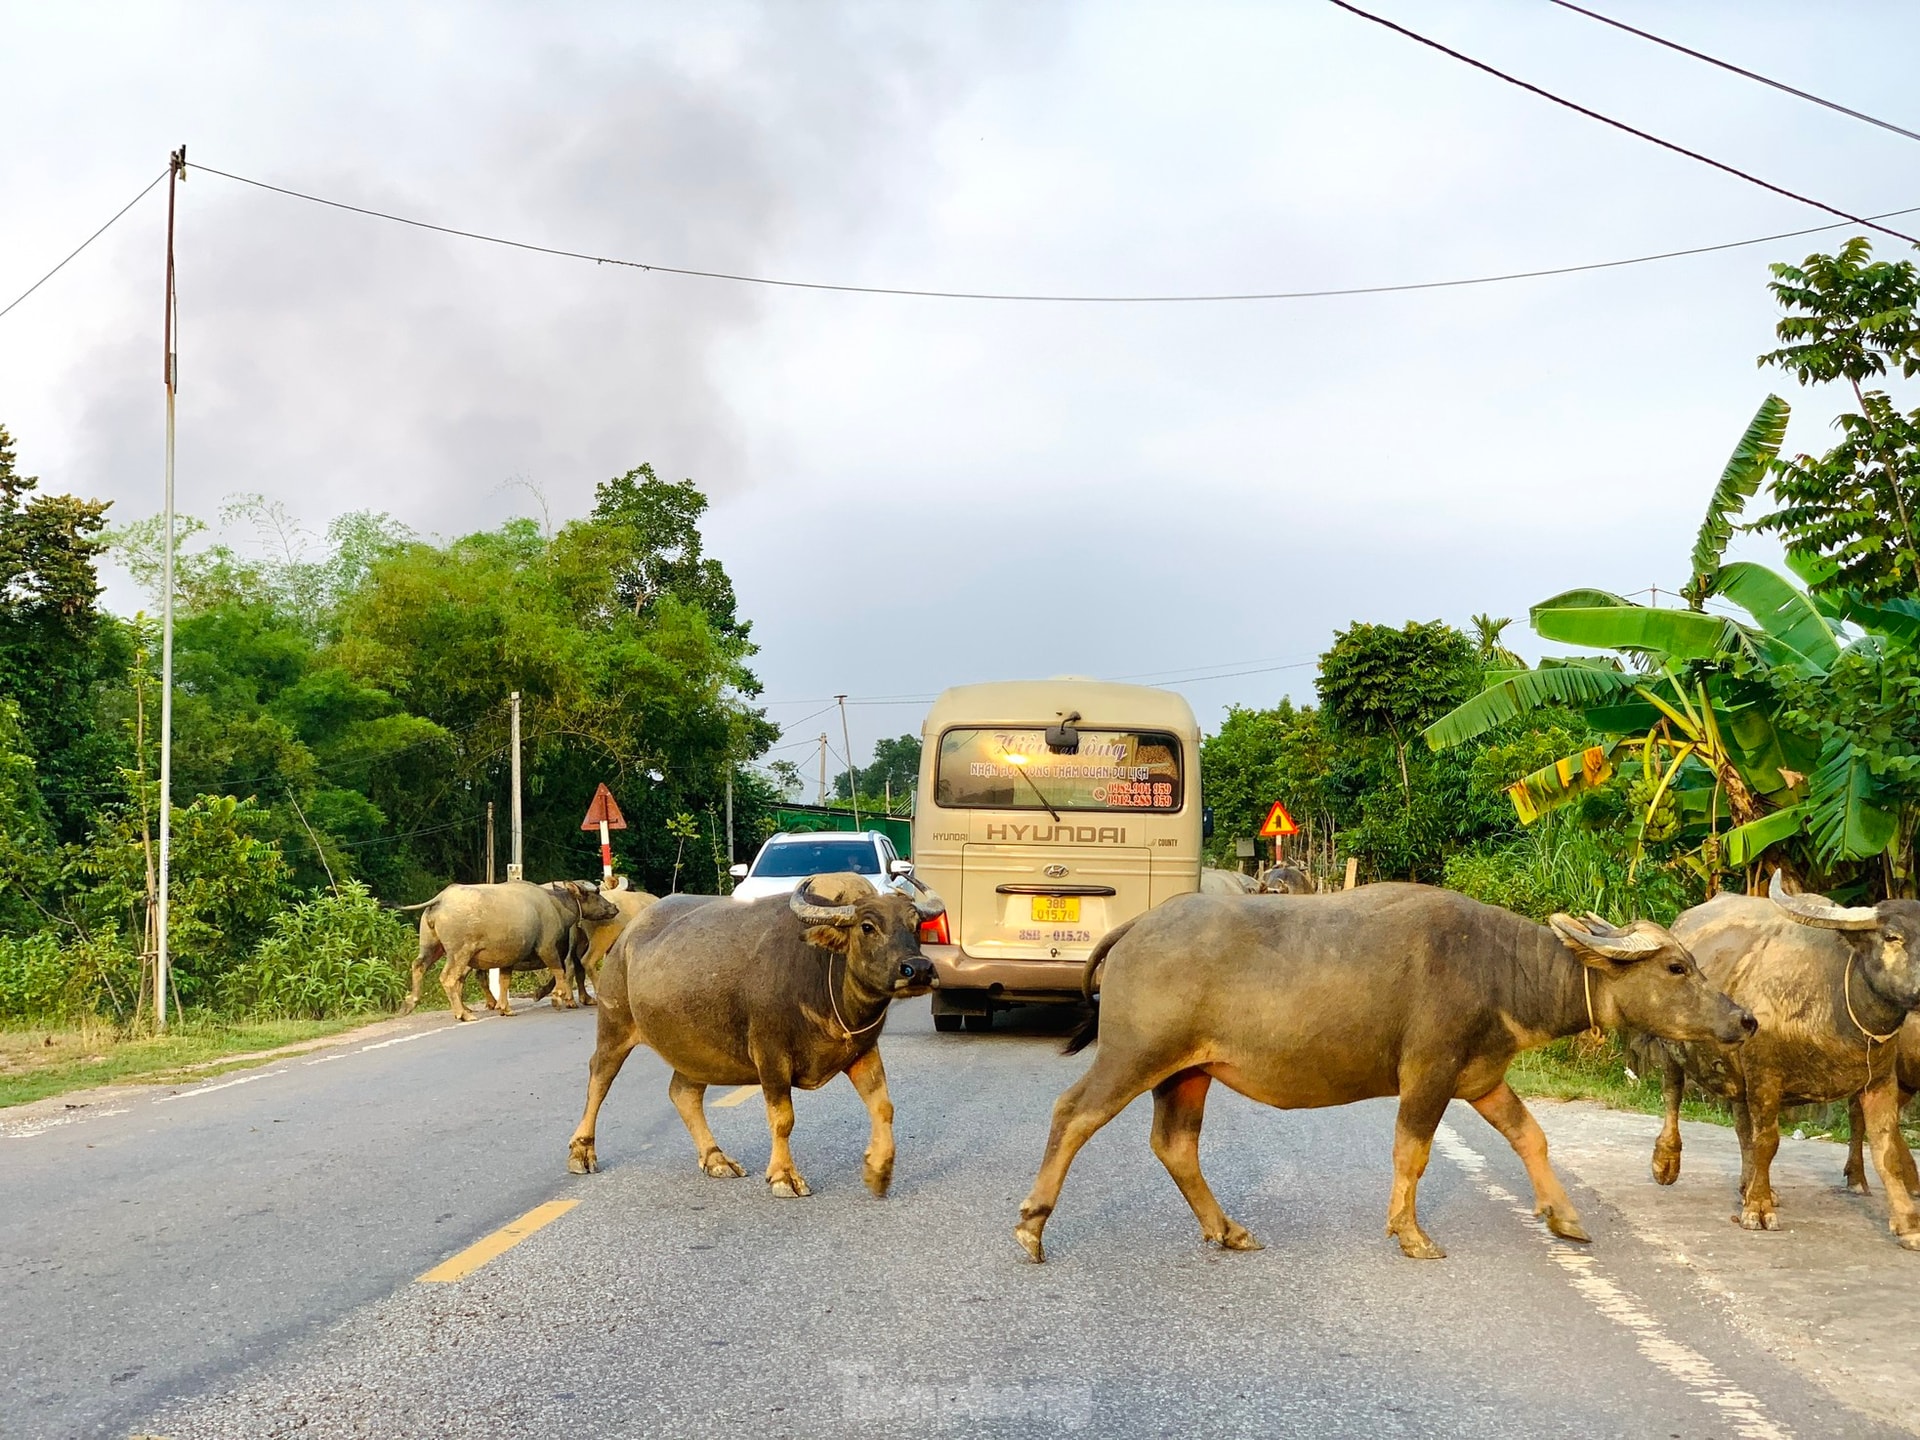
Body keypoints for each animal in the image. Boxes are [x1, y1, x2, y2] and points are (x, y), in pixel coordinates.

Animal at [401, 879, 618, 1029]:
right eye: (596, 893)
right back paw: (463, 1013)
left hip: (432, 946)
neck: (556, 905)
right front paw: (558, 998)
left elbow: (504, 981)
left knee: (419, 966)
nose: (614, 907)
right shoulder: (547, 948)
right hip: (460, 952)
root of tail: (442, 898)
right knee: (449, 978)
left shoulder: (508, 958)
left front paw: (505, 1008)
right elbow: (560, 972)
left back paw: (410, 1003)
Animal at [560, 875, 944, 1198]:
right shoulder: (771, 1055)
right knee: (599, 1079)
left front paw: (879, 1172)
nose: (918, 969)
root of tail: (626, 937)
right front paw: (784, 1177)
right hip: (614, 1024)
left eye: (915, 925)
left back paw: (716, 1158)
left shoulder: (863, 1051)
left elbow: (883, 1107)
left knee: (683, 1093)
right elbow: (783, 1118)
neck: (822, 979)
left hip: (696, 1051)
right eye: (867, 926)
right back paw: (582, 1152)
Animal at [1021, 887, 1758, 1267]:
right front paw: (1411, 1234)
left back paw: (1228, 1229)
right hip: (1134, 1054)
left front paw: (1566, 1217)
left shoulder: (1481, 1077)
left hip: (1189, 1072)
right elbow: (1413, 1152)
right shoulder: (1428, 1072)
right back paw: (1032, 1225)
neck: (1500, 970)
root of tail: (1137, 925)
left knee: (1175, 1143)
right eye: (1677, 968)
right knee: (1073, 1113)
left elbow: (1532, 1137)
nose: (1745, 1019)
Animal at [1651, 875, 1920, 1244]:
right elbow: (1768, 1142)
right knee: (1672, 1094)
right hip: (1672, 1048)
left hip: (1738, 1076)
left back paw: (1746, 1185)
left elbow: (1887, 1149)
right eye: (1892, 937)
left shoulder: (1879, 1081)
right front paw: (1759, 1210)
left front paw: (1908, 1224)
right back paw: (1667, 1163)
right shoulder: (1765, 1075)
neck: (1837, 1000)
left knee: (1741, 1126)